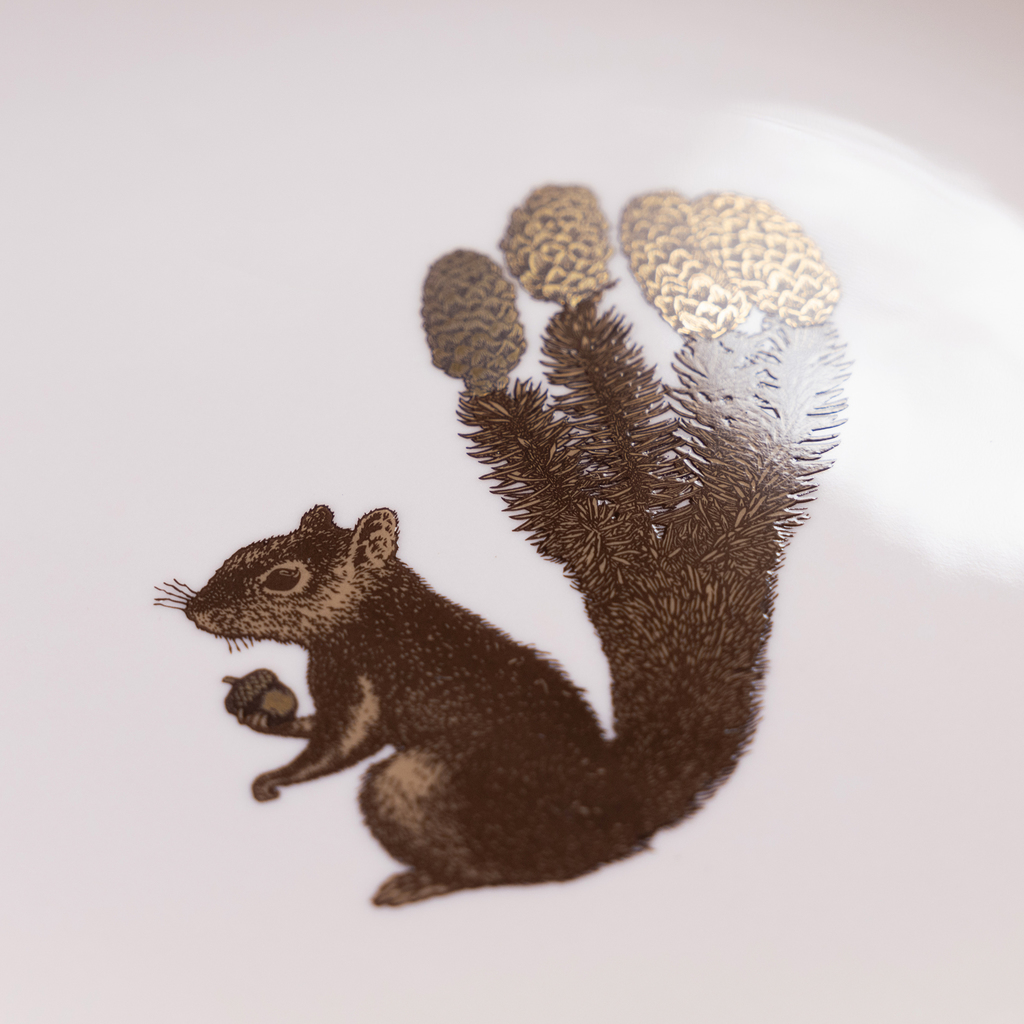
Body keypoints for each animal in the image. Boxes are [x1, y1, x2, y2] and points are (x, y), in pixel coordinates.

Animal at [157, 186, 846, 906]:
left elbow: (340, 745)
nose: (195, 611)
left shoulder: (366, 678)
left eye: (284, 577)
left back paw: (416, 884)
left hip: (414, 784)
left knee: (494, 869)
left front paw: (277, 778)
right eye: (239, 553)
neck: (375, 614)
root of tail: (612, 823)